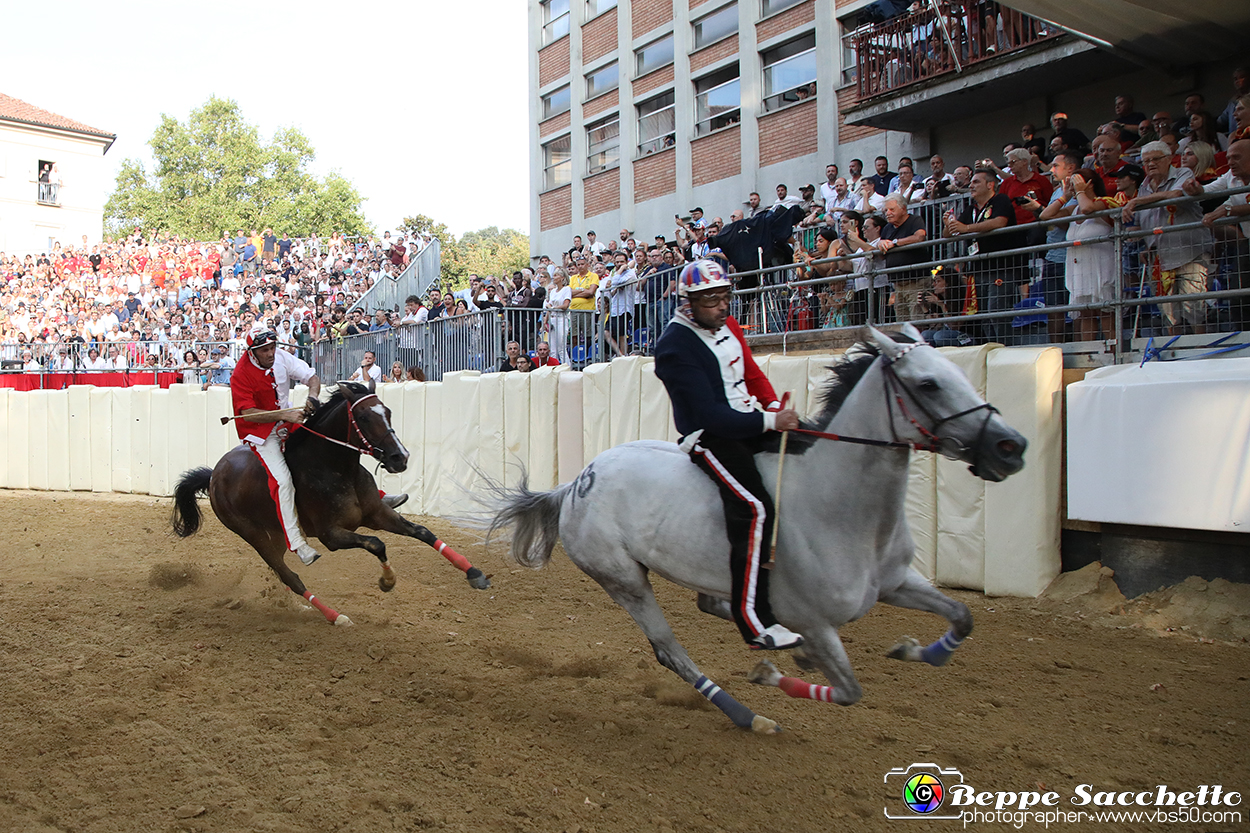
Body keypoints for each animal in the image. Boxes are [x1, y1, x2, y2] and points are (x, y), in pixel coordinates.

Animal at [170, 380, 487, 620]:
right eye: (363, 417)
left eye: (387, 411)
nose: (400, 457)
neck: (333, 467)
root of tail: (214, 474)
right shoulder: (331, 535)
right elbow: (377, 544)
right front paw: (387, 581)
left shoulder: (377, 514)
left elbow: (422, 532)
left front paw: (474, 573)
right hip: (254, 536)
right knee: (290, 577)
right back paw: (335, 616)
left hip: (275, 534)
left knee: (282, 573)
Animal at [487, 325, 1025, 725]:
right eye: (928, 383)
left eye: (958, 372)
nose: (1010, 447)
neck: (841, 506)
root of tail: (577, 482)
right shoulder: (818, 620)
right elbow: (849, 691)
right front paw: (769, 675)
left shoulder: (896, 583)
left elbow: (963, 615)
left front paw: (917, 652)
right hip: (624, 581)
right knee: (670, 649)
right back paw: (749, 713)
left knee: (711, 604)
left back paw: (775, 637)